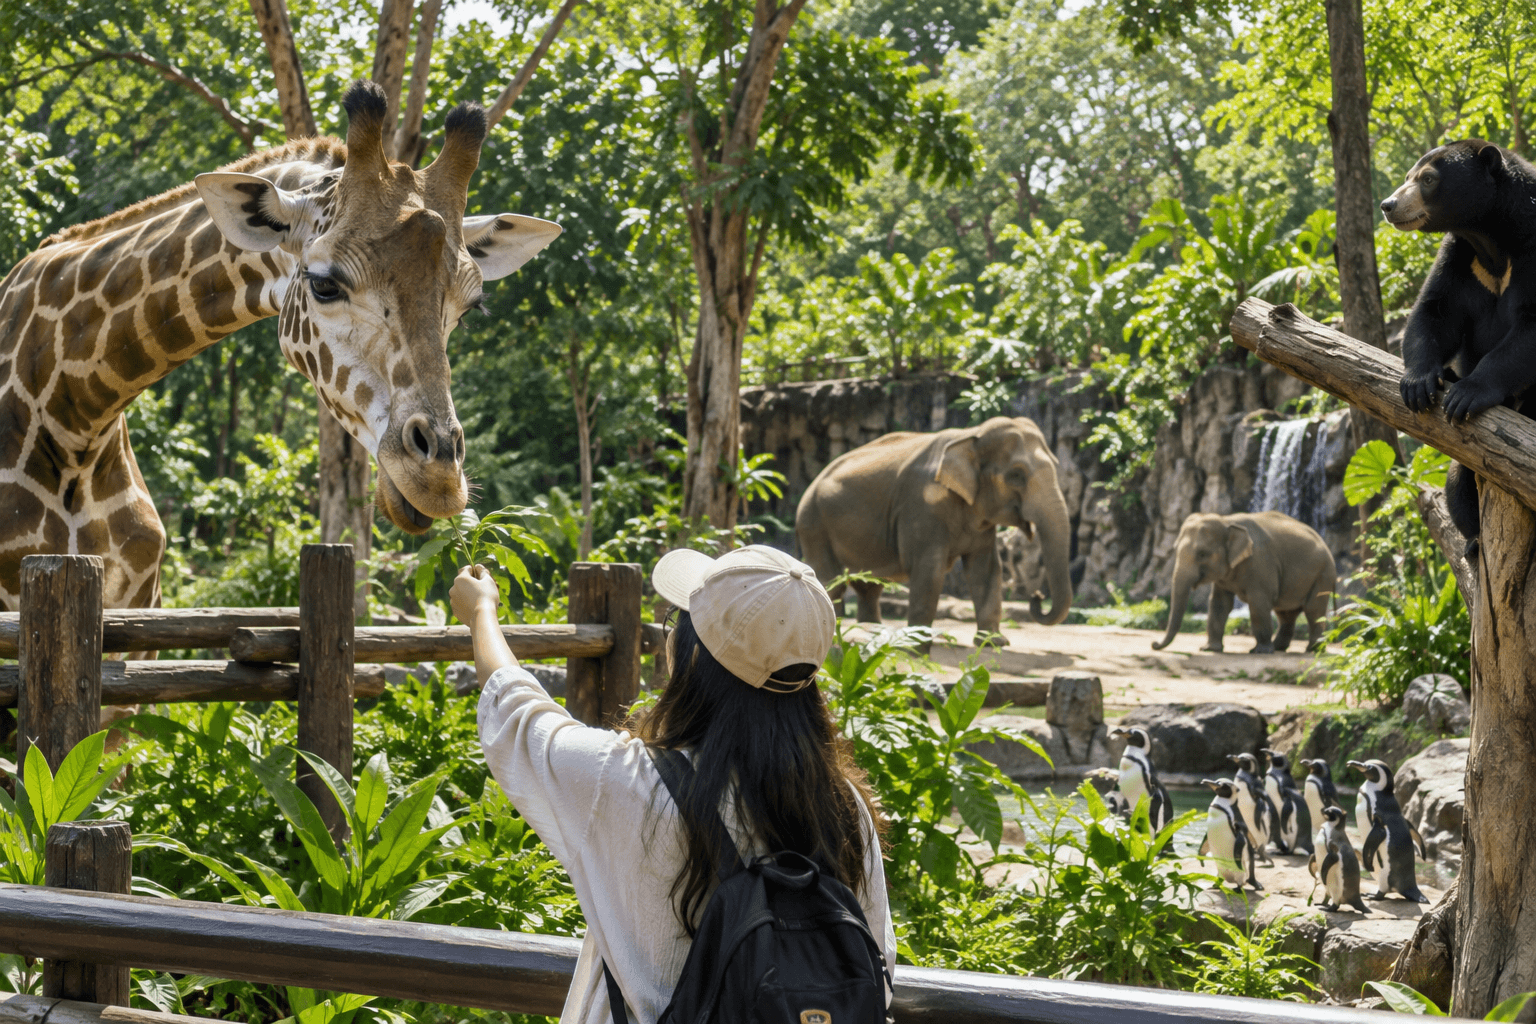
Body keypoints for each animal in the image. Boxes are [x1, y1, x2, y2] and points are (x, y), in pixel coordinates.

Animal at [795, 416, 1073, 643]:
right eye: (1016, 475)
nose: (1037, 595)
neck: (971, 435)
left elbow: (985, 570)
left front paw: (994, 643)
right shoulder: (922, 505)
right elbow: (929, 569)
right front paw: (916, 644)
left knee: (870, 585)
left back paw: (872, 632)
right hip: (814, 523)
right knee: (831, 582)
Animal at [1152, 511, 1336, 655]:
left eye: (1202, 554)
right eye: (1175, 549)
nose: (1154, 644)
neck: (1226, 520)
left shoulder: (1261, 564)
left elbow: (1258, 603)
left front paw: (1260, 651)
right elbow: (1219, 604)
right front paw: (1210, 649)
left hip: (1323, 574)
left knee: (1313, 610)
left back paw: (1312, 650)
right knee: (1286, 614)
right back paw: (1279, 648)